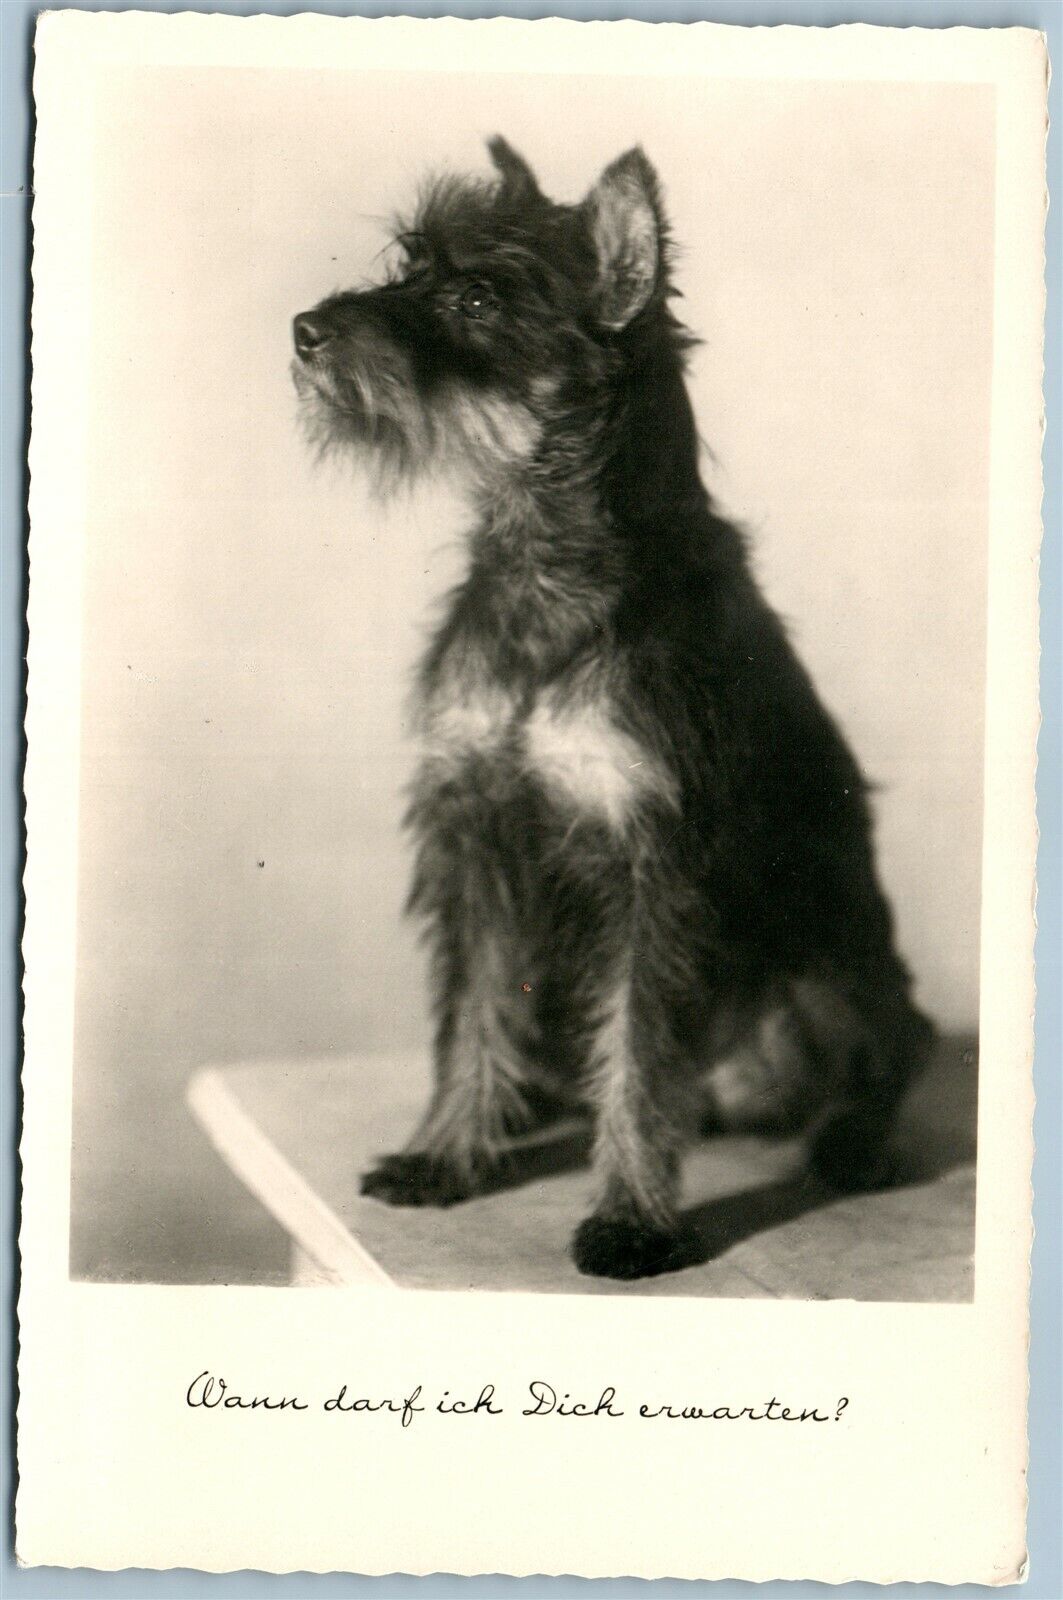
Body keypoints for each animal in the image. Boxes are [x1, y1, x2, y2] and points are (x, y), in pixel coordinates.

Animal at [291, 140, 928, 1286]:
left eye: (476, 297)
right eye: (407, 267)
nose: (306, 330)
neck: (545, 563)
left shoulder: (652, 865)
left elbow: (639, 1048)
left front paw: (631, 1217)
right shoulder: (476, 837)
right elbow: (469, 1017)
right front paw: (443, 1151)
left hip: (825, 965)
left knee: (894, 1044)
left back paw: (854, 1139)